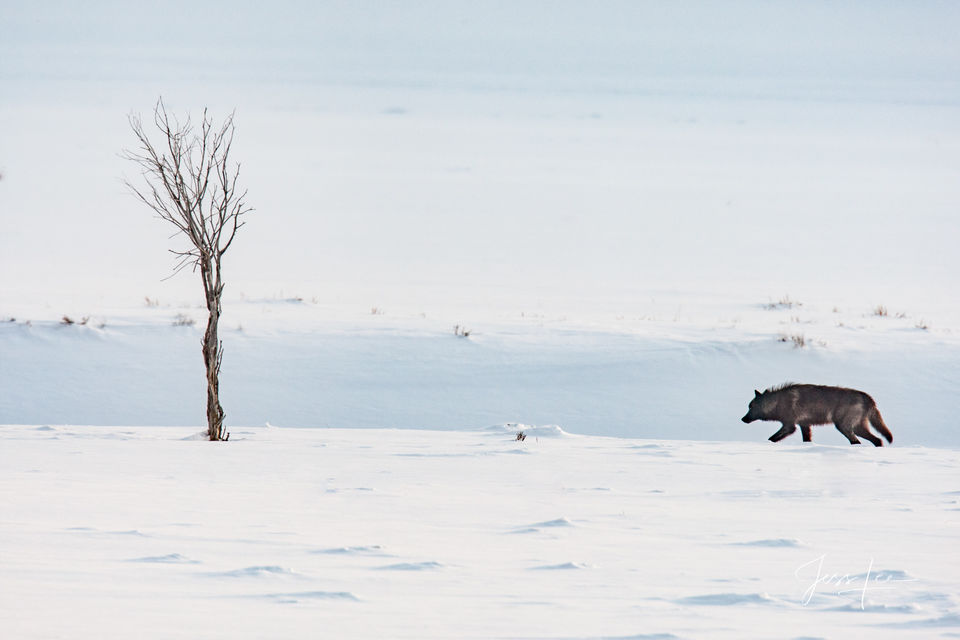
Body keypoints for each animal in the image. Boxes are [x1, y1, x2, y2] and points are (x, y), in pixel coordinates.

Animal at [744, 384, 892, 444]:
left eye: (750, 407)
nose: (743, 419)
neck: (778, 402)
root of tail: (868, 397)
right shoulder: (804, 425)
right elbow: (807, 440)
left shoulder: (789, 426)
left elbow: (772, 438)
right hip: (858, 428)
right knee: (878, 440)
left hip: (844, 427)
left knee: (857, 442)